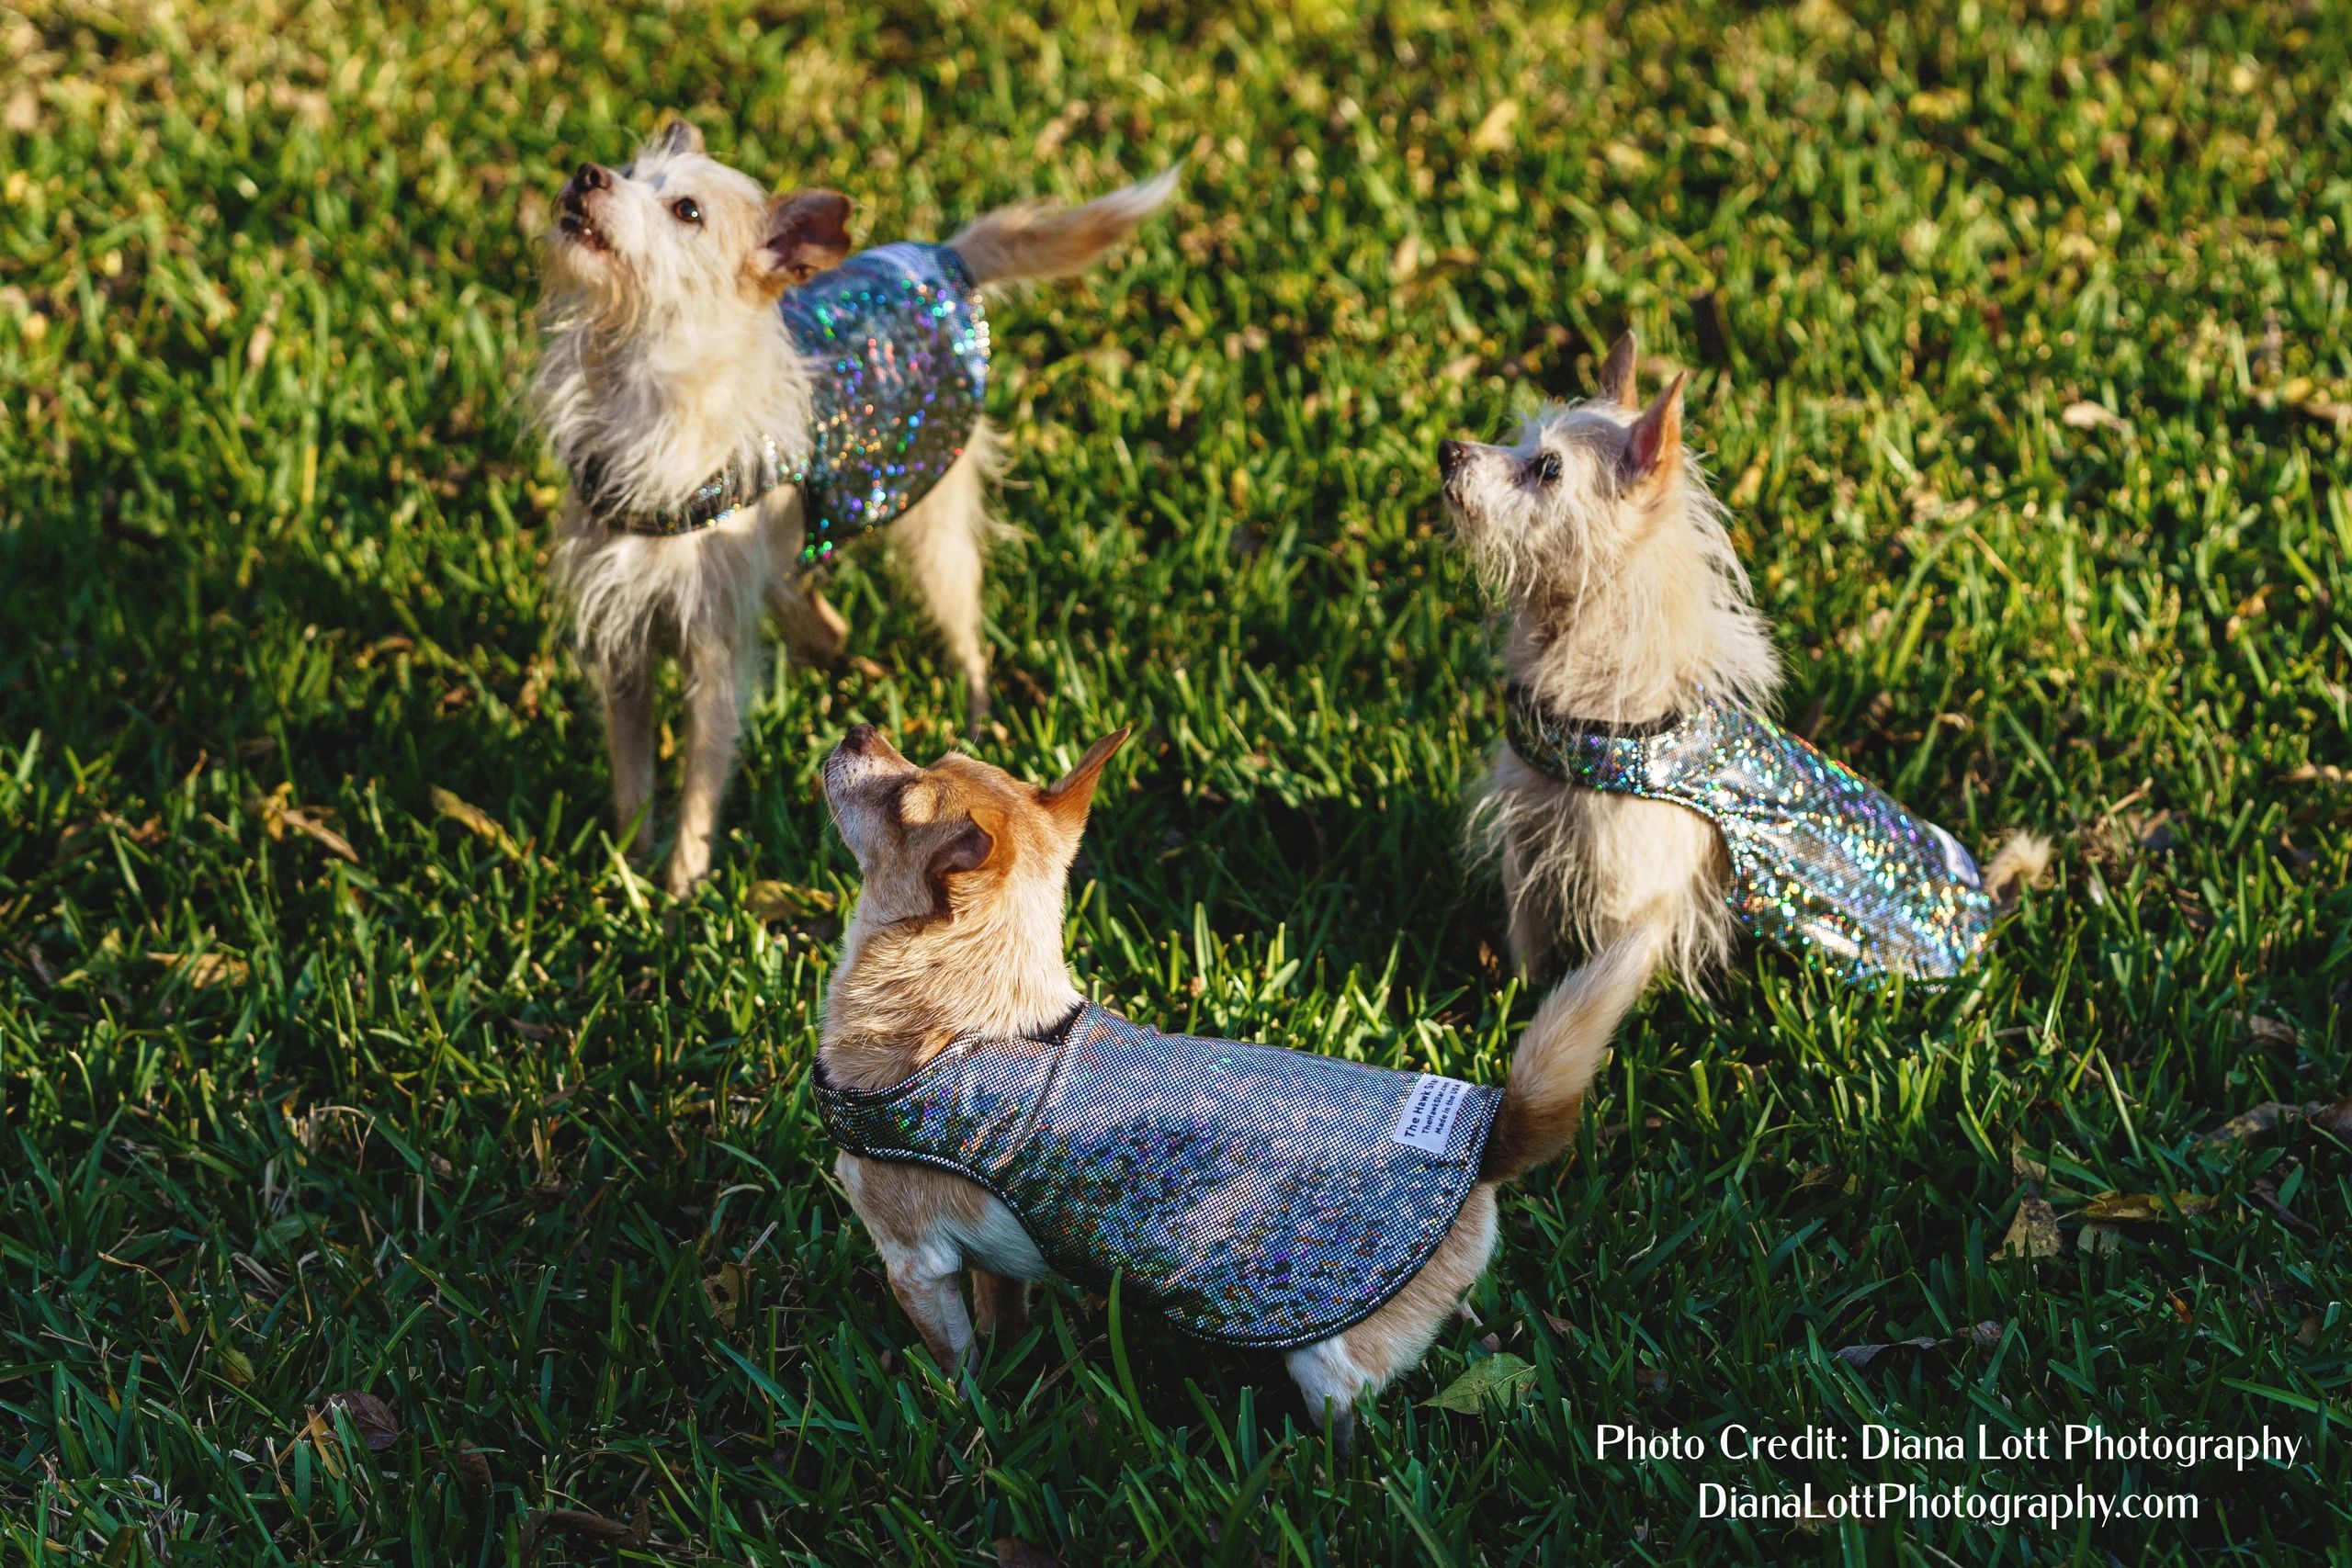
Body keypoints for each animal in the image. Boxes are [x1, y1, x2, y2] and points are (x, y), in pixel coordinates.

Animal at [540, 122, 1185, 893]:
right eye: (628, 170)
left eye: (687, 212)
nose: (588, 174)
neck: (643, 386)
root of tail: (943, 258)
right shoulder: (623, 635)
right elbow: (632, 770)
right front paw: (631, 866)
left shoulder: (717, 651)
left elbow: (701, 775)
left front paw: (682, 883)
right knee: (815, 610)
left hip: (936, 526)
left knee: (964, 633)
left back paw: (972, 718)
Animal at [818, 724, 1646, 1438]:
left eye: (902, 796)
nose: (859, 730)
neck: (982, 1019)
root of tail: (1495, 1131)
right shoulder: (992, 1261)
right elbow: (1003, 1313)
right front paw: (1009, 1364)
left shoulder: (914, 1262)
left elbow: (955, 1359)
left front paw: (961, 1417)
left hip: (1326, 1357)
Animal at [1430, 335, 2041, 987]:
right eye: (1519, 441)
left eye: (1548, 468)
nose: (1447, 451)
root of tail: (1984, 905)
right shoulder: (1524, 849)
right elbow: (1527, 953)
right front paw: (1511, 999)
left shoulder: (1629, 907)